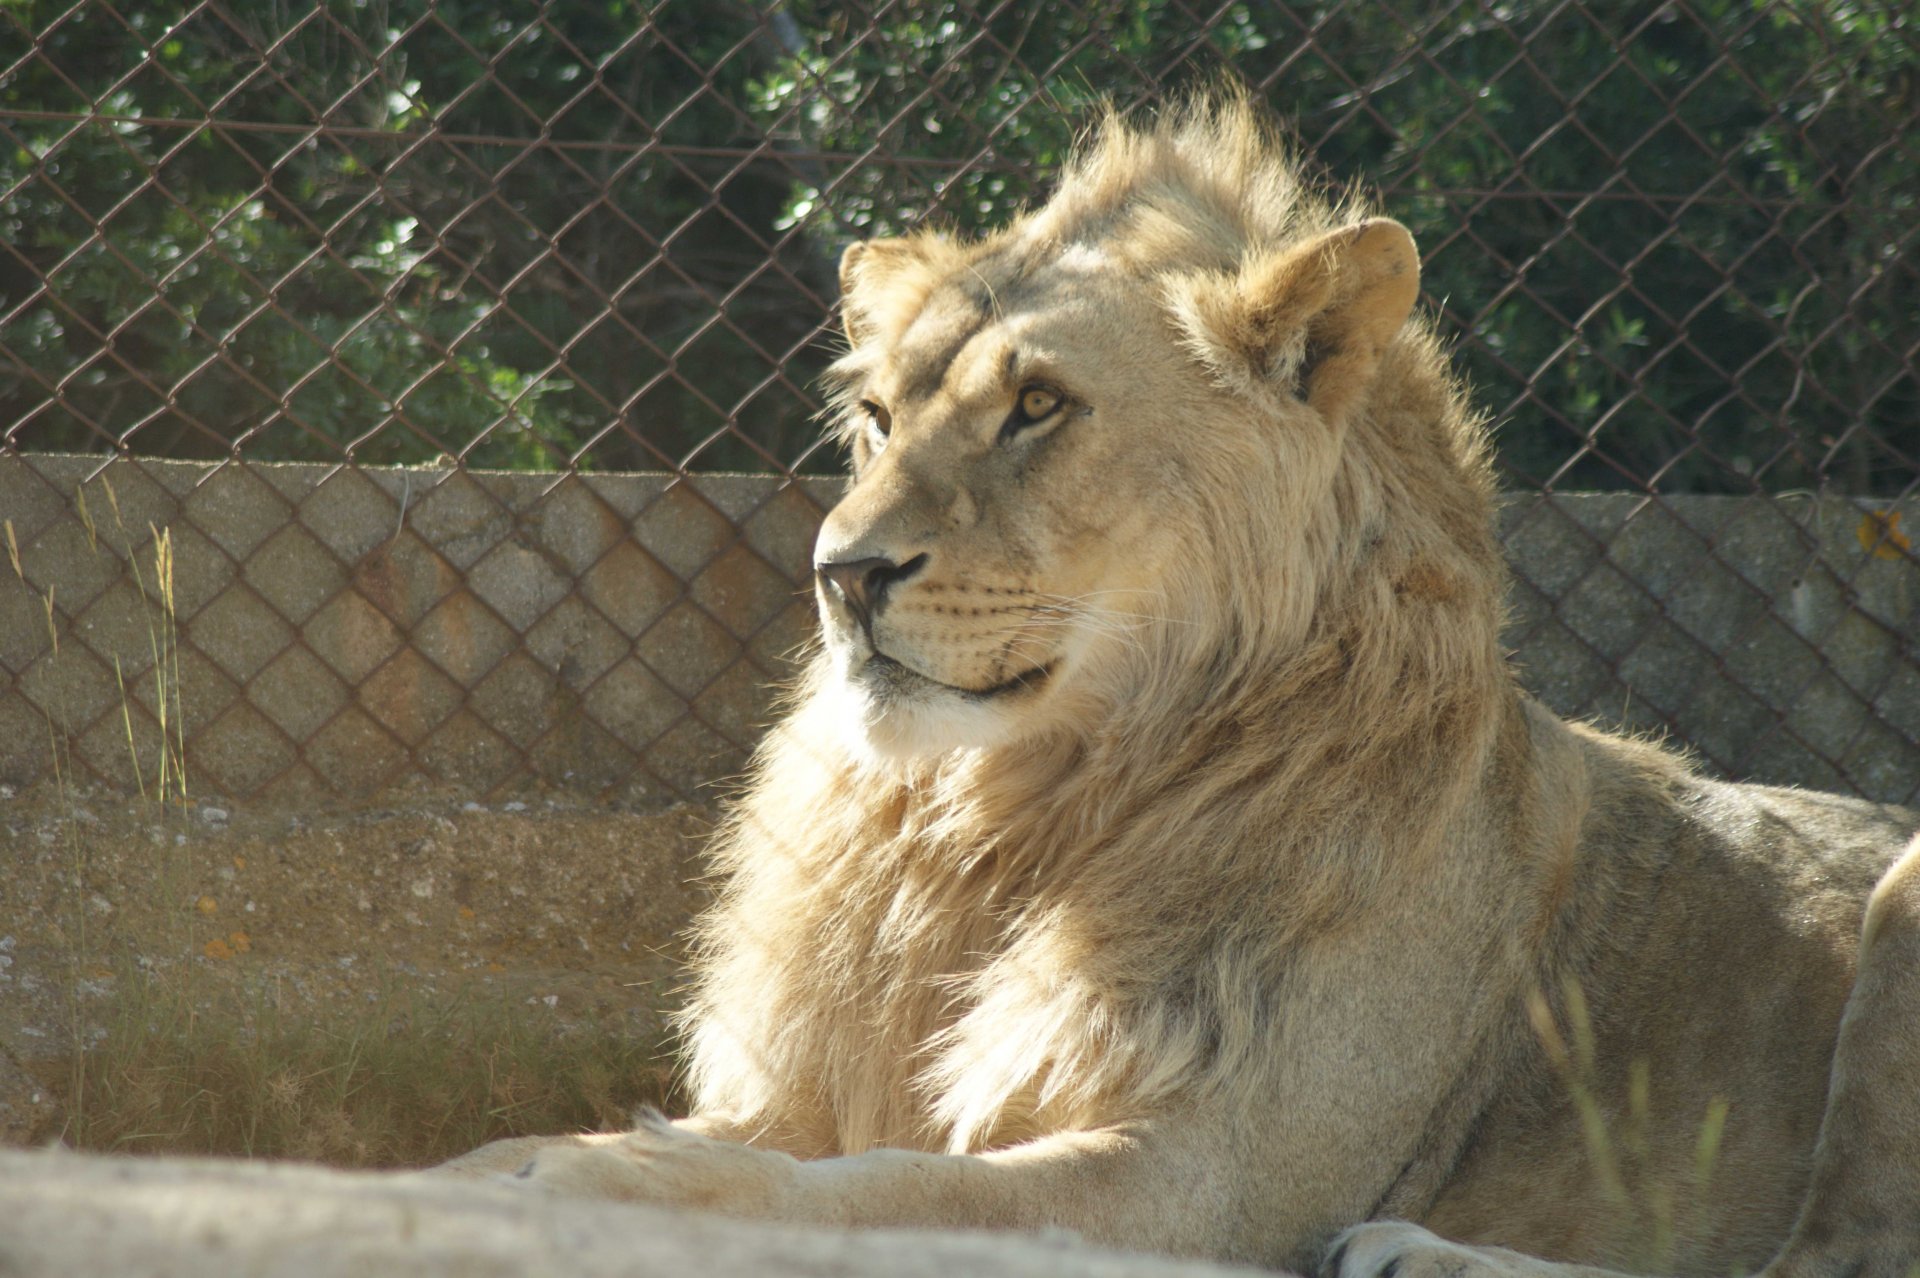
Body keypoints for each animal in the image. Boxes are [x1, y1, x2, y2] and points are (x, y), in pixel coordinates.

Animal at [441, 92, 1920, 1274]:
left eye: (1038, 406)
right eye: (875, 417)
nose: (840, 574)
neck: (1001, 824)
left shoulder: (1203, 1178)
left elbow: (875, 1189)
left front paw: (605, 1180)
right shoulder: (816, 1084)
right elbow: (551, 1151)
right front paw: (493, 1169)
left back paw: (1415, 1251)